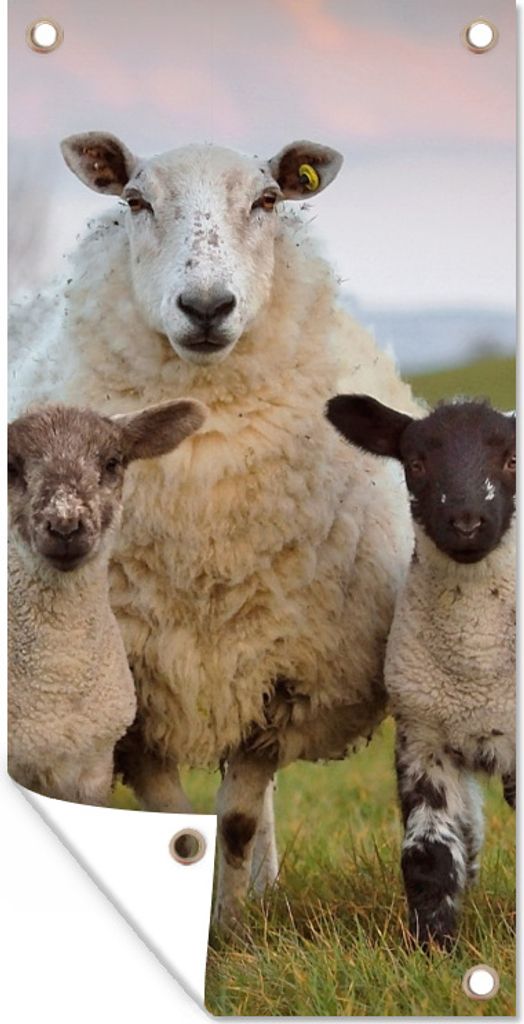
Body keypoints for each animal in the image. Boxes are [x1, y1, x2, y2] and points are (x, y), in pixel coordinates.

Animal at [326, 394, 516, 948]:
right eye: (415, 464)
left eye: (511, 460)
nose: (467, 522)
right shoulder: (423, 738)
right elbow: (427, 855)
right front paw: (432, 947)